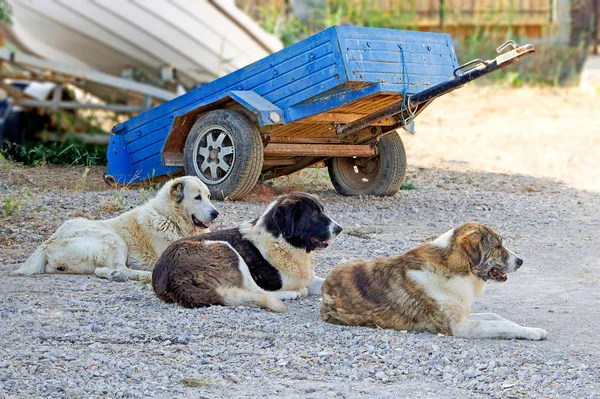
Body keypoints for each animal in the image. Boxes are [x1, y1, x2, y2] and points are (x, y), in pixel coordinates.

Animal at [10, 177, 218, 282]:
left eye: (208, 196)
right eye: (197, 197)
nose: (216, 213)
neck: (169, 218)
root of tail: (48, 242)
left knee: (103, 270)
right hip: (114, 239)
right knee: (119, 268)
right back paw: (140, 275)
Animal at [152, 193, 340, 312]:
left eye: (322, 211)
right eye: (314, 215)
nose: (340, 228)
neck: (282, 241)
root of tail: (172, 278)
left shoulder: (309, 279)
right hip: (227, 249)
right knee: (257, 291)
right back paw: (292, 294)